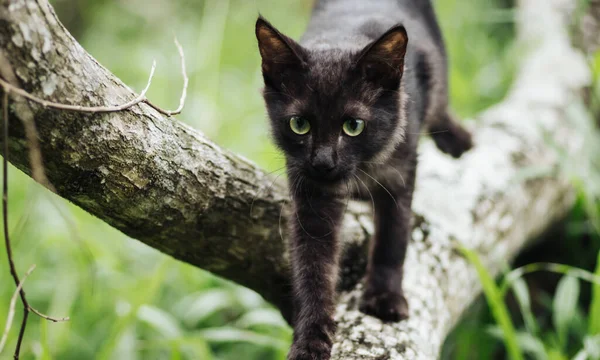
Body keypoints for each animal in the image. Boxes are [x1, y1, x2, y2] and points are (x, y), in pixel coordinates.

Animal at [255, 1, 472, 358]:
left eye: (353, 126)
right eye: (299, 124)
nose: (323, 162)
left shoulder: (400, 174)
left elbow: (392, 239)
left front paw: (384, 298)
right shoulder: (311, 194)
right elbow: (313, 268)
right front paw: (310, 338)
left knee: (441, 105)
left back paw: (456, 137)